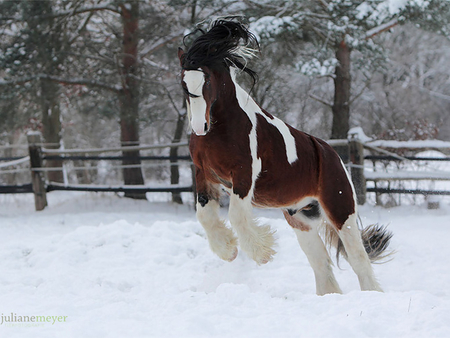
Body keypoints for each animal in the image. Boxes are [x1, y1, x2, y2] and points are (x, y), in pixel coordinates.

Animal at [178, 19, 392, 296]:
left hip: (341, 212)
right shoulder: (204, 174)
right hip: (301, 219)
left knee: (358, 260)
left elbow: (236, 216)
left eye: (207, 82)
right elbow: (203, 214)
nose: (199, 127)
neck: (221, 129)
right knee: (321, 263)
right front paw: (229, 251)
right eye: (183, 84)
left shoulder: (244, 175)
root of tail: (333, 156)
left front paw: (262, 253)